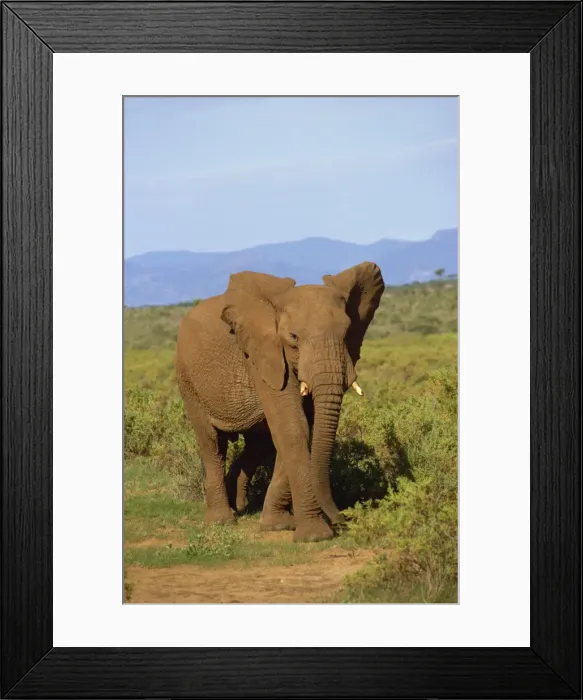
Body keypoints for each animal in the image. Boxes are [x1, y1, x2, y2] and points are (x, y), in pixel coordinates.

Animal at [175, 261, 385, 542]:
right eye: (294, 338)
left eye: (348, 333)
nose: (342, 520)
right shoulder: (262, 355)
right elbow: (293, 427)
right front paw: (315, 536)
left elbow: (300, 427)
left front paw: (278, 525)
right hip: (188, 379)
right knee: (212, 443)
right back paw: (221, 520)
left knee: (259, 442)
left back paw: (239, 504)